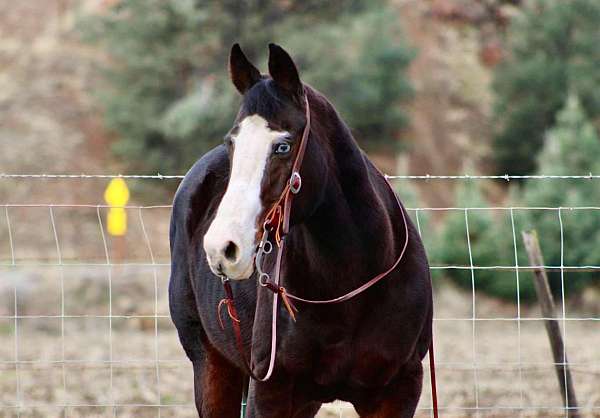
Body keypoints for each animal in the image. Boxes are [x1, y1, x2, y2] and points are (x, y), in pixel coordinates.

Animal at [168, 43, 432, 418]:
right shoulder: (270, 391)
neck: (351, 282)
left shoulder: (399, 390)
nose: (222, 248)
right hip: (211, 367)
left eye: (283, 146)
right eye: (232, 143)